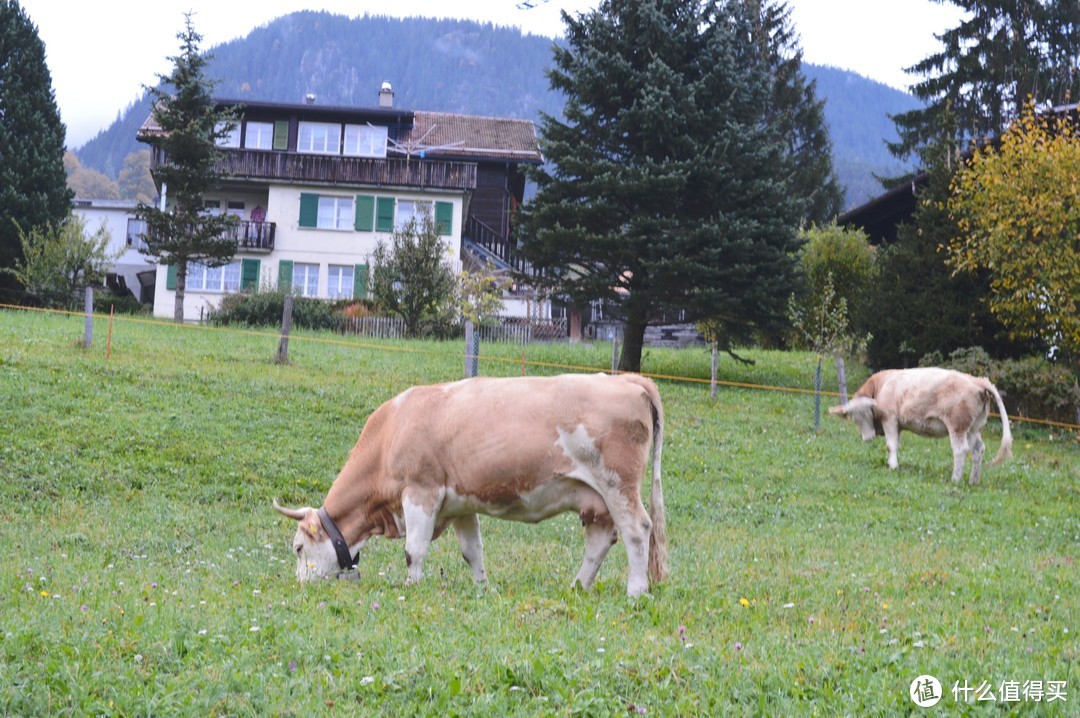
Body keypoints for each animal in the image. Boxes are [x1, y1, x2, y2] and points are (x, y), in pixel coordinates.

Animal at [272, 371, 665, 595]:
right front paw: (482, 587)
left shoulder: (421, 491)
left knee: (637, 530)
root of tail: (627, 378)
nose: (300, 587)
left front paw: (410, 587)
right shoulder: (461, 503)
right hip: (596, 499)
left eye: (298, 548)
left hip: (617, 484)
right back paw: (577, 587)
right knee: (599, 541)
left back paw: (636, 590)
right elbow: (471, 550)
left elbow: (414, 550)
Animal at [825, 369, 1010, 481]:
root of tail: (978, 381)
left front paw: (893, 466)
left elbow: (891, 445)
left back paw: (955, 479)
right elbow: (895, 445)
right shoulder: (897, 425)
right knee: (978, 449)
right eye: (855, 418)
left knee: (961, 450)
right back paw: (973, 480)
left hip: (957, 425)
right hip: (974, 427)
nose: (868, 438)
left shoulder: (889, 419)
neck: (881, 385)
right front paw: (892, 463)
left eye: (867, 413)